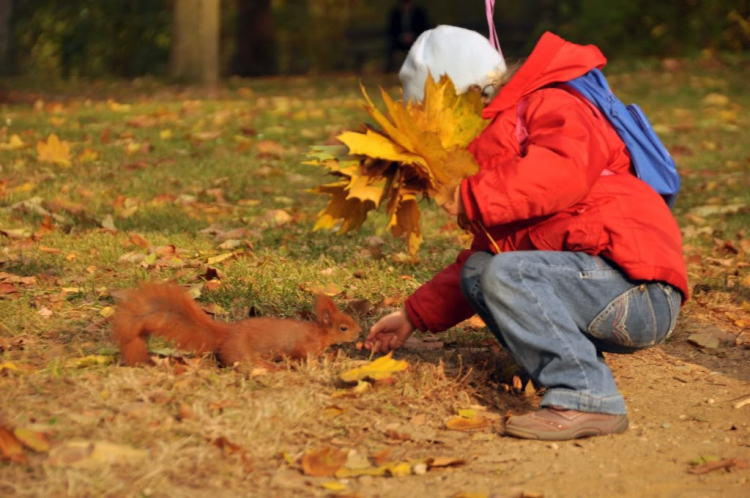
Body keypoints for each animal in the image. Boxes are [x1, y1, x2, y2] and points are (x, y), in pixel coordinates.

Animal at [111, 284, 364, 366]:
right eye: (343, 327)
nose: (360, 333)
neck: (319, 333)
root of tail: (227, 333)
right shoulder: (305, 346)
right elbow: (304, 356)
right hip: (241, 353)